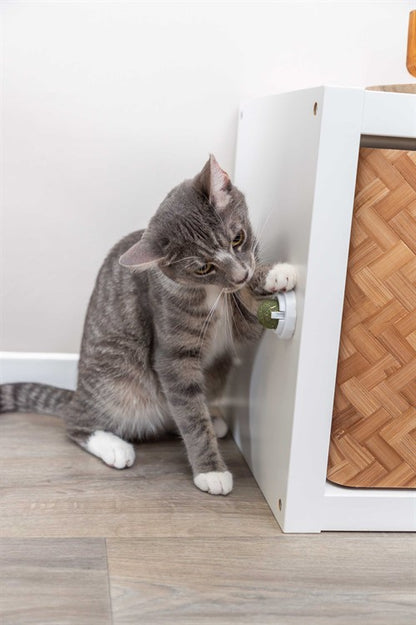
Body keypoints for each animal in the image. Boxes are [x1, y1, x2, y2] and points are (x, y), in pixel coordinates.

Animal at [0, 157, 296, 498]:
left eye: (238, 238)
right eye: (203, 268)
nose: (241, 275)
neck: (213, 294)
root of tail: (76, 394)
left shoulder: (238, 325)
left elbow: (249, 317)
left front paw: (274, 274)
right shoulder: (172, 355)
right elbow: (191, 416)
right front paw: (210, 471)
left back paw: (213, 417)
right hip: (117, 377)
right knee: (77, 421)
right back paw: (114, 446)